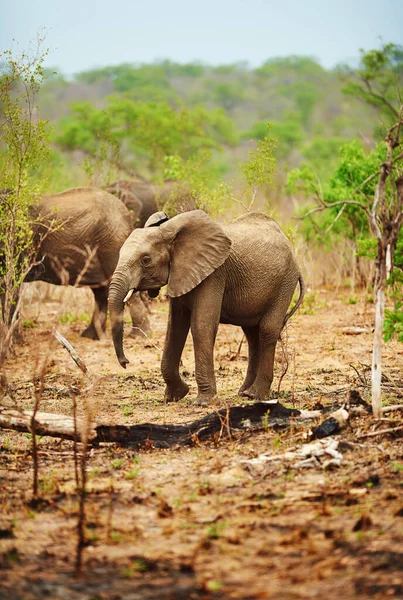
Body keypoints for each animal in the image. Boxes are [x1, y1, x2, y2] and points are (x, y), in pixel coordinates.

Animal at [109, 210, 304, 404]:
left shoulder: (214, 273)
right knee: (252, 335)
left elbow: (201, 326)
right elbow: (175, 329)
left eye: (145, 260)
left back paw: (255, 395)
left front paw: (204, 402)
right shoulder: (181, 274)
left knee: (266, 330)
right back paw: (244, 393)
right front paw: (175, 396)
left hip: (284, 283)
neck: (169, 231)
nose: (126, 362)